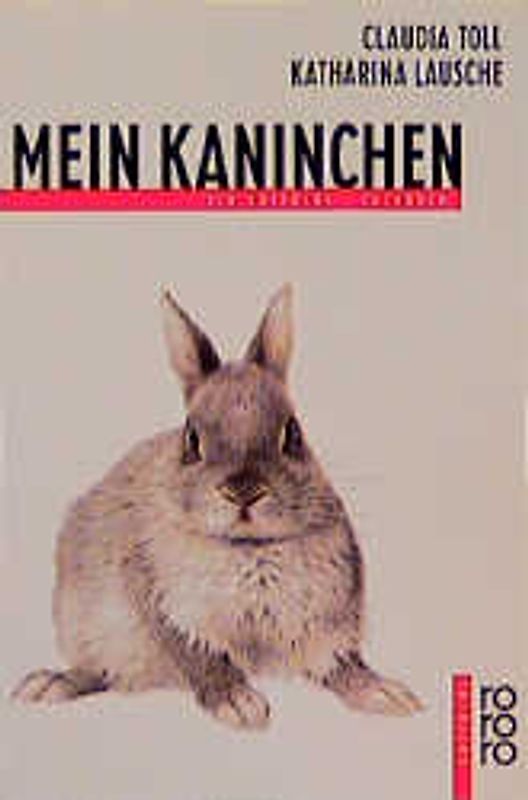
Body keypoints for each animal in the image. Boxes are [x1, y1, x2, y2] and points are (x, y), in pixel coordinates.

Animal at [12, 285, 423, 729]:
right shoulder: (169, 614)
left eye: (293, 433)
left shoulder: (324, 630)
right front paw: (240, 704)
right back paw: (48, 684)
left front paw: (384, 693)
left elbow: (342, 665)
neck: (248, 547)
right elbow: (204, 661)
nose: (243, 491)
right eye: (191, 439)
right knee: (99, 669)